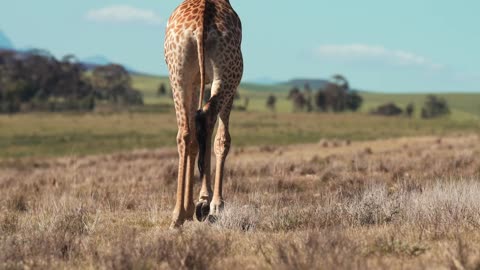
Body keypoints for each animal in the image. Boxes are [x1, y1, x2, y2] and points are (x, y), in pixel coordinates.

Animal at [164, 0, 244, 228]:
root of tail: (200, 27)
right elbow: (220, 139)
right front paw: (213, 202)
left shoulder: (194, 81)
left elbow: (195, 140)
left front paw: (193, 204)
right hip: (230, 73)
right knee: (207, 120)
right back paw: (202, 206)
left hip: (178, 75)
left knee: (186, 133)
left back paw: (178, 215)